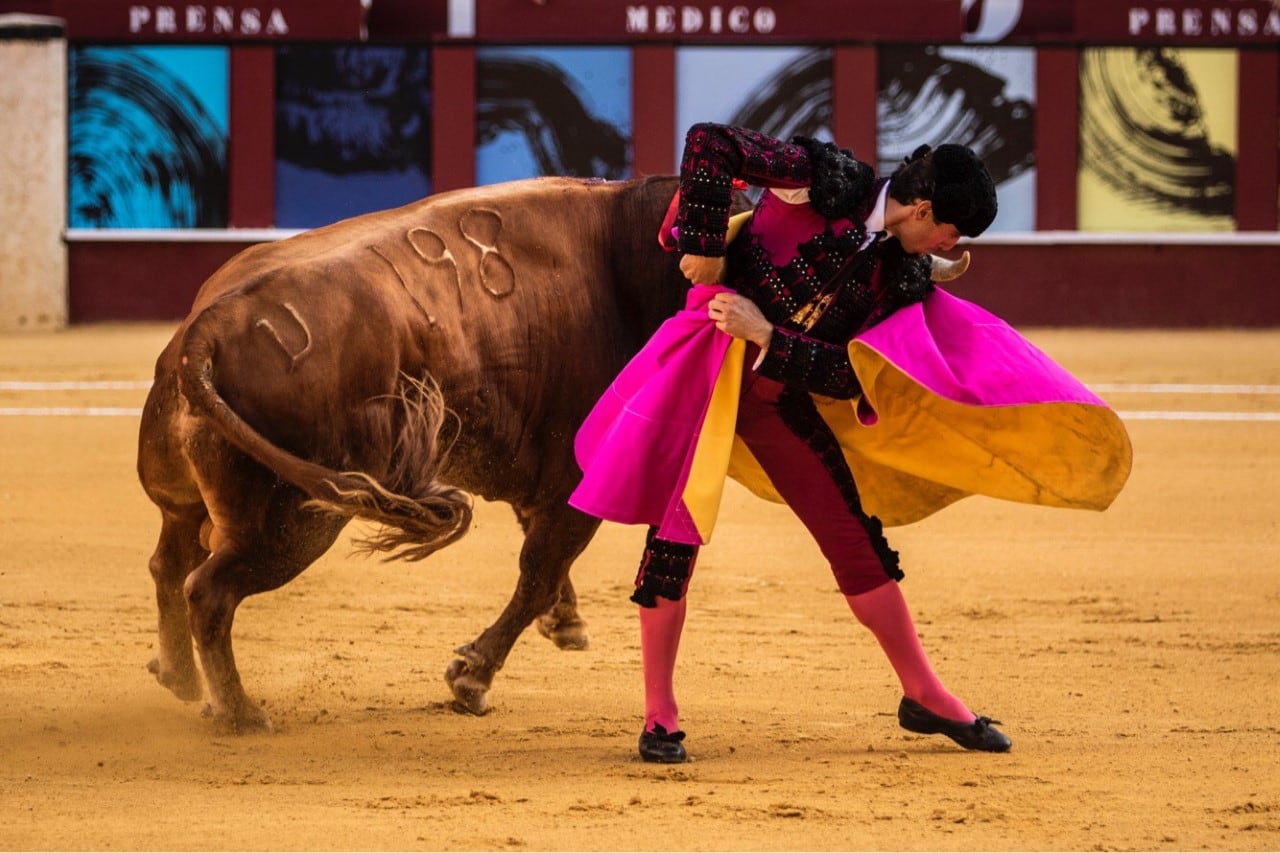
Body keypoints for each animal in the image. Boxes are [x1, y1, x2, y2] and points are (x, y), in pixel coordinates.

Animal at [135, 174, 696, 732]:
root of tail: (206, 331)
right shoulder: (574, 482)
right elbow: (539, 569)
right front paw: (471, 679)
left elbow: (544, 560)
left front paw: (564, 624)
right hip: (290, 524)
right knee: (209, 590)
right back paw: (240, 713)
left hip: (190, 500)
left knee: (170, 564)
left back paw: (180, 677)